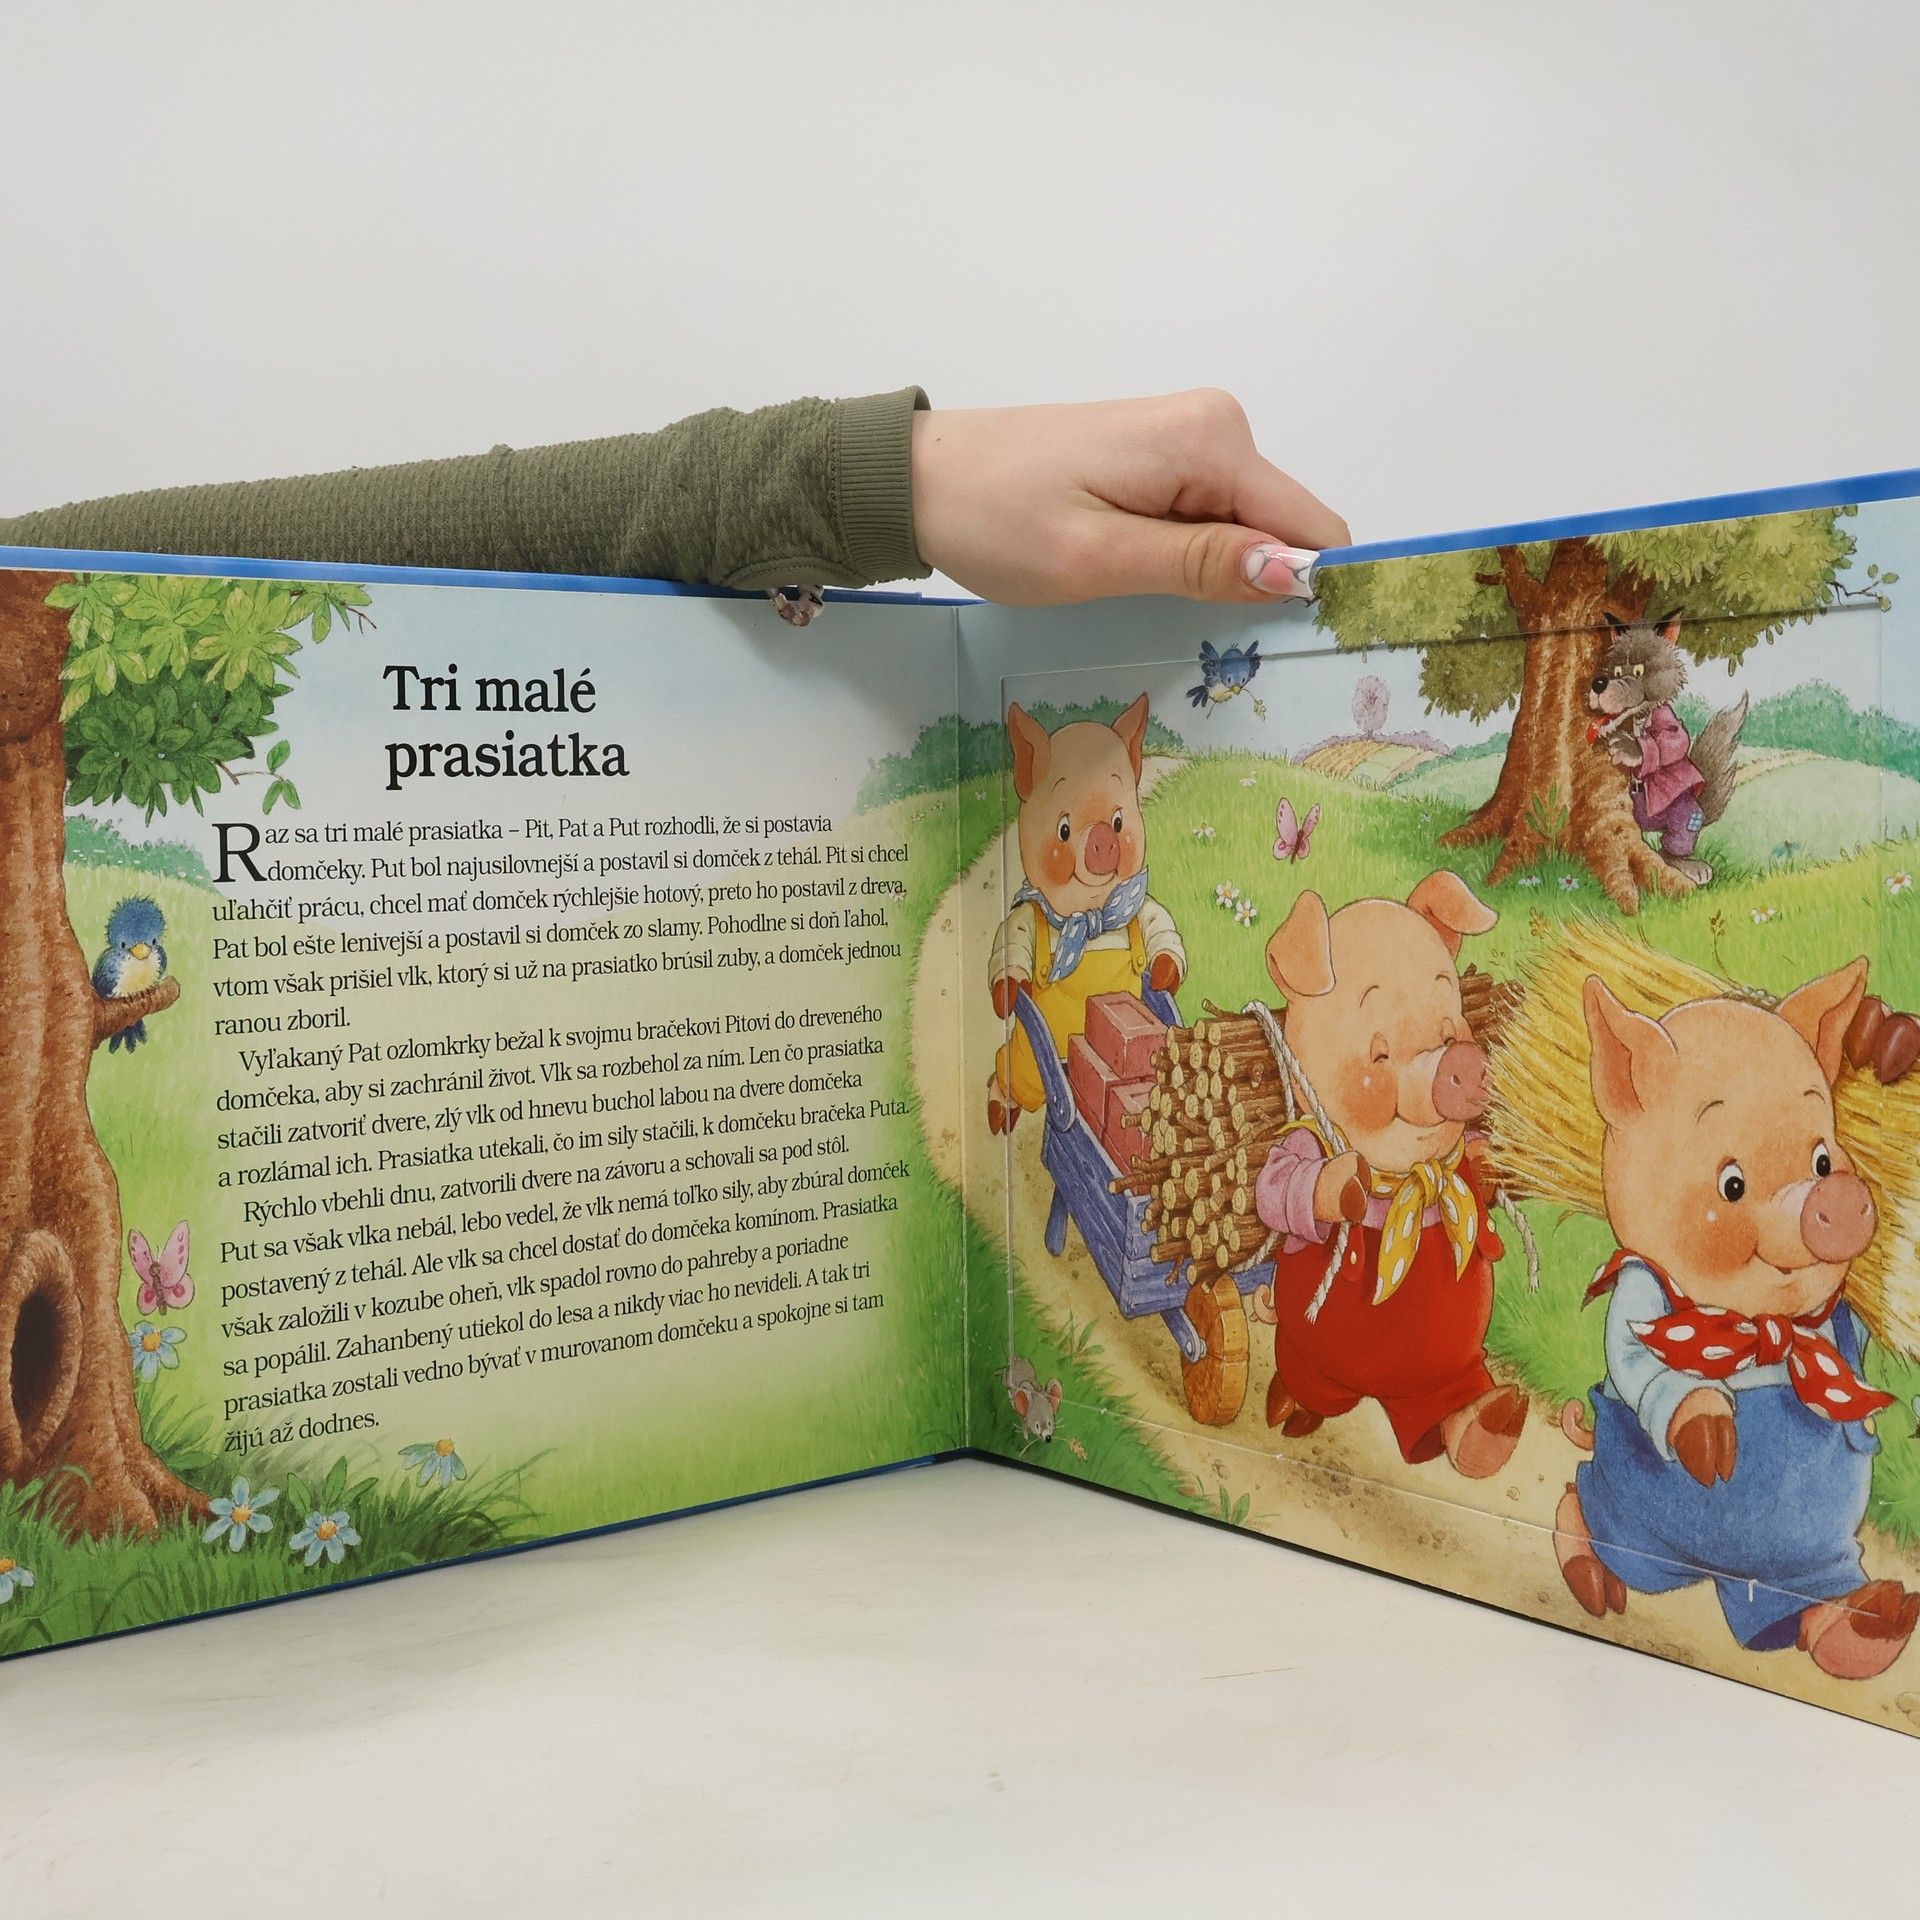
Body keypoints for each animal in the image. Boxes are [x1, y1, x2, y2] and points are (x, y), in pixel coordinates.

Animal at [987, 696, 1186, 1135]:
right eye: (1063, 830)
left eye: (1119, 821)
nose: (1103, 841)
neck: (1090, 915)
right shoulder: (1024, 920)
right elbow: (1011, 949)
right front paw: (1006, 992)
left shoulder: (1143, 907)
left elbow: (1163, 932)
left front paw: (1163, 974)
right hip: (1027, 1060)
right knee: (1012, 1077)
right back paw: (997, 1109)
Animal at [1251, 872, 1528, 1478]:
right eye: (1379, 1056)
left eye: (1450, 1027)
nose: (1462, 1061)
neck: (1409, 1178)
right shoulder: (1298, 1143)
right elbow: (1276, 1186)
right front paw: (1342, 1184)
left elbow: (1476, 1169)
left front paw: (1491, 1159)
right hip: (1309, 1359)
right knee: (1307, 1385)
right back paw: (1286, 1412)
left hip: (1447, 1377)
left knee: (1452, 1409)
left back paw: (1495, 1423)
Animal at [1554, 961, 1920, 1680]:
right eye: (1731, 1184)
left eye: (1823, 1159)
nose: (1841, 1200)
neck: (1762, 1327)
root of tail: (1710, 1576)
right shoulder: (1639, 1287)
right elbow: (1636, 1358)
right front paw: (1706, 1434)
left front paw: (1884, 1035)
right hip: (1627, 1511)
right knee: (1590, 1508)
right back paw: (1586, 1572)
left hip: (1810, 1565)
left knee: (1812, 1603)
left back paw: (1875, 1622)